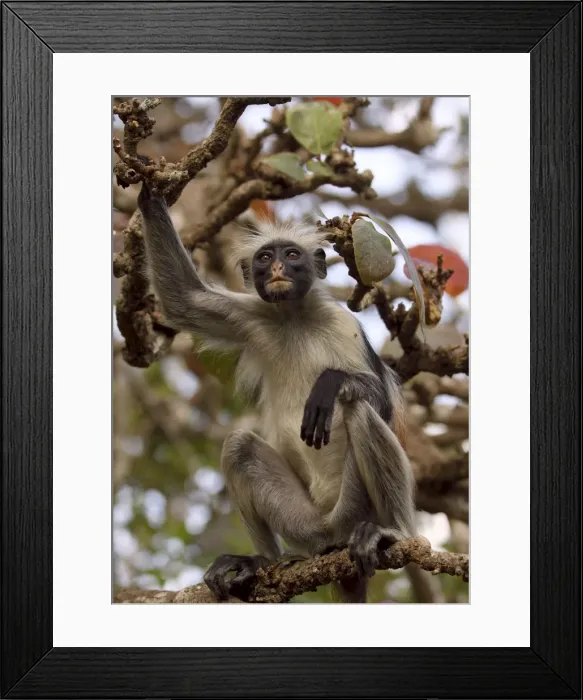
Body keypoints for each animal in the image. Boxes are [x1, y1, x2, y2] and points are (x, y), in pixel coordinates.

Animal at [137, 181, 416, 603]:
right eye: (265, 257)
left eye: (292, 255)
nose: (278, 269)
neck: (293, 316)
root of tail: (333, 530)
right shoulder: (251, 315)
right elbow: (182, 299)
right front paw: (150, 195)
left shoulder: (343, 325)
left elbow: (379, 399)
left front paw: (330, 384)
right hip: (306, 525)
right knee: (239, 445)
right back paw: (262, 561)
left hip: (356, 508)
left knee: (360, 408)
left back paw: (394, 533)